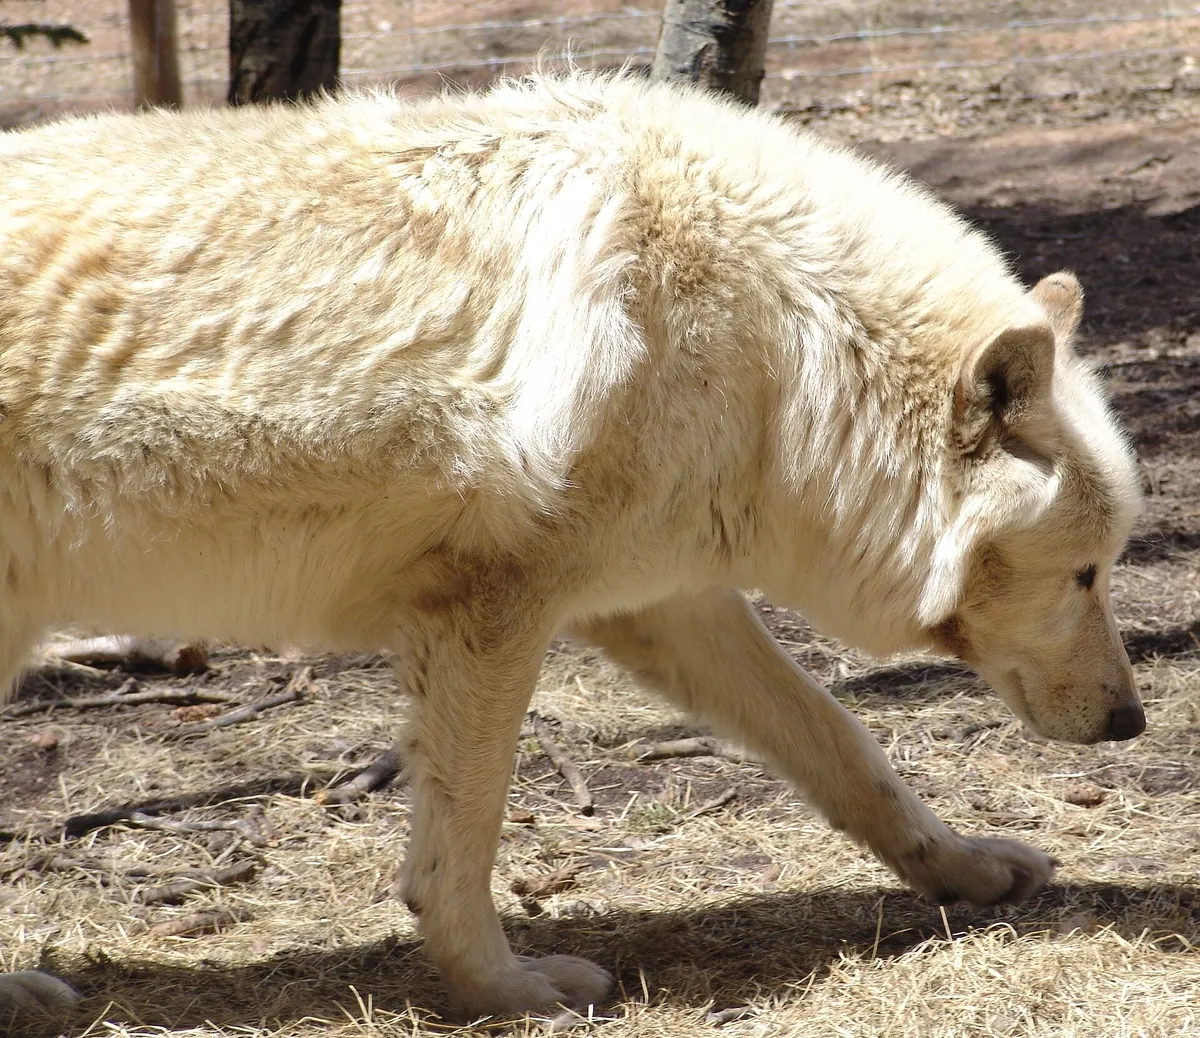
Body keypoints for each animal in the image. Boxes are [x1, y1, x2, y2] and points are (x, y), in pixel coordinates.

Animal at [0, 70, 1141, 1020]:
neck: (779, 353)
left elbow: (845, 745)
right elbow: (462, 844)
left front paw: (964, 871)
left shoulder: (660, 602)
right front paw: (505, 990)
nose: (1131, 721)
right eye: (1086, 572)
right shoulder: (493, 610)